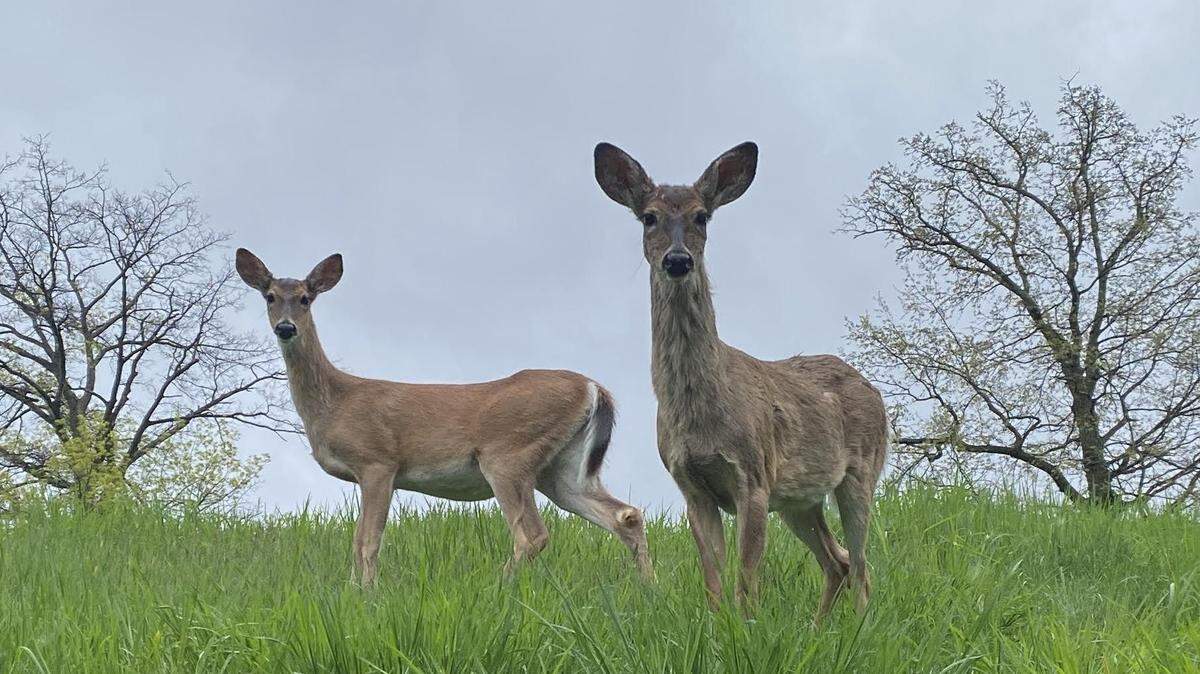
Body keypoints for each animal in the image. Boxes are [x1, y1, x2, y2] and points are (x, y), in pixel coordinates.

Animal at [235, 249, 652, 586]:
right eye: (270, 297)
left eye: (306, 299)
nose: (285, 327)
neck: (335, 401)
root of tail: (594, 388)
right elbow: (357, 542)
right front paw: (354, 593)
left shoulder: (378, 461)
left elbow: (368, 541)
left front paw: (367, 595)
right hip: (561, 469)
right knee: (625, 515)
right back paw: (649, 589)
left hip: (509, 454)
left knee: (532, 535)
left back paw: (499, 590)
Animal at [592, 142, 888, 621]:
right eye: (649, 216)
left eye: (701, 216)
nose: (678, 260)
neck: (699, 411)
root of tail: (872, 389)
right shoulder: (691, 485)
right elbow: (713, 580)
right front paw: (718, 626)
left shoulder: (753, 475)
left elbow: (746, 581)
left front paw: (746, 626)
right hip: (800, 499)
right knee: (838, 561)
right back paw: (818, 628)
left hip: (861, 470)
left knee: (862, 565)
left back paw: (859, 625)